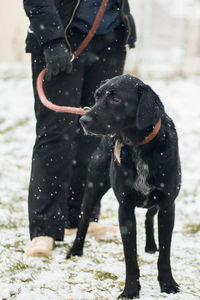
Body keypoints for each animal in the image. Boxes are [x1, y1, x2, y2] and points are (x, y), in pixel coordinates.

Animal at [67, 74, 181, 298]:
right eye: (97, 96)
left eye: (115, 99)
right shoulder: (125, 208)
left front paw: (168, 284)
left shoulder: (167, 205)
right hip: (93, 188)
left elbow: (165, 253)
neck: (139, 147)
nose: (83, 120)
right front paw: (130, 290)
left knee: (149, 216)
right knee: (83, 219)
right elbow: (130, 256)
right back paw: (75, 251)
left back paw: (150, 245)